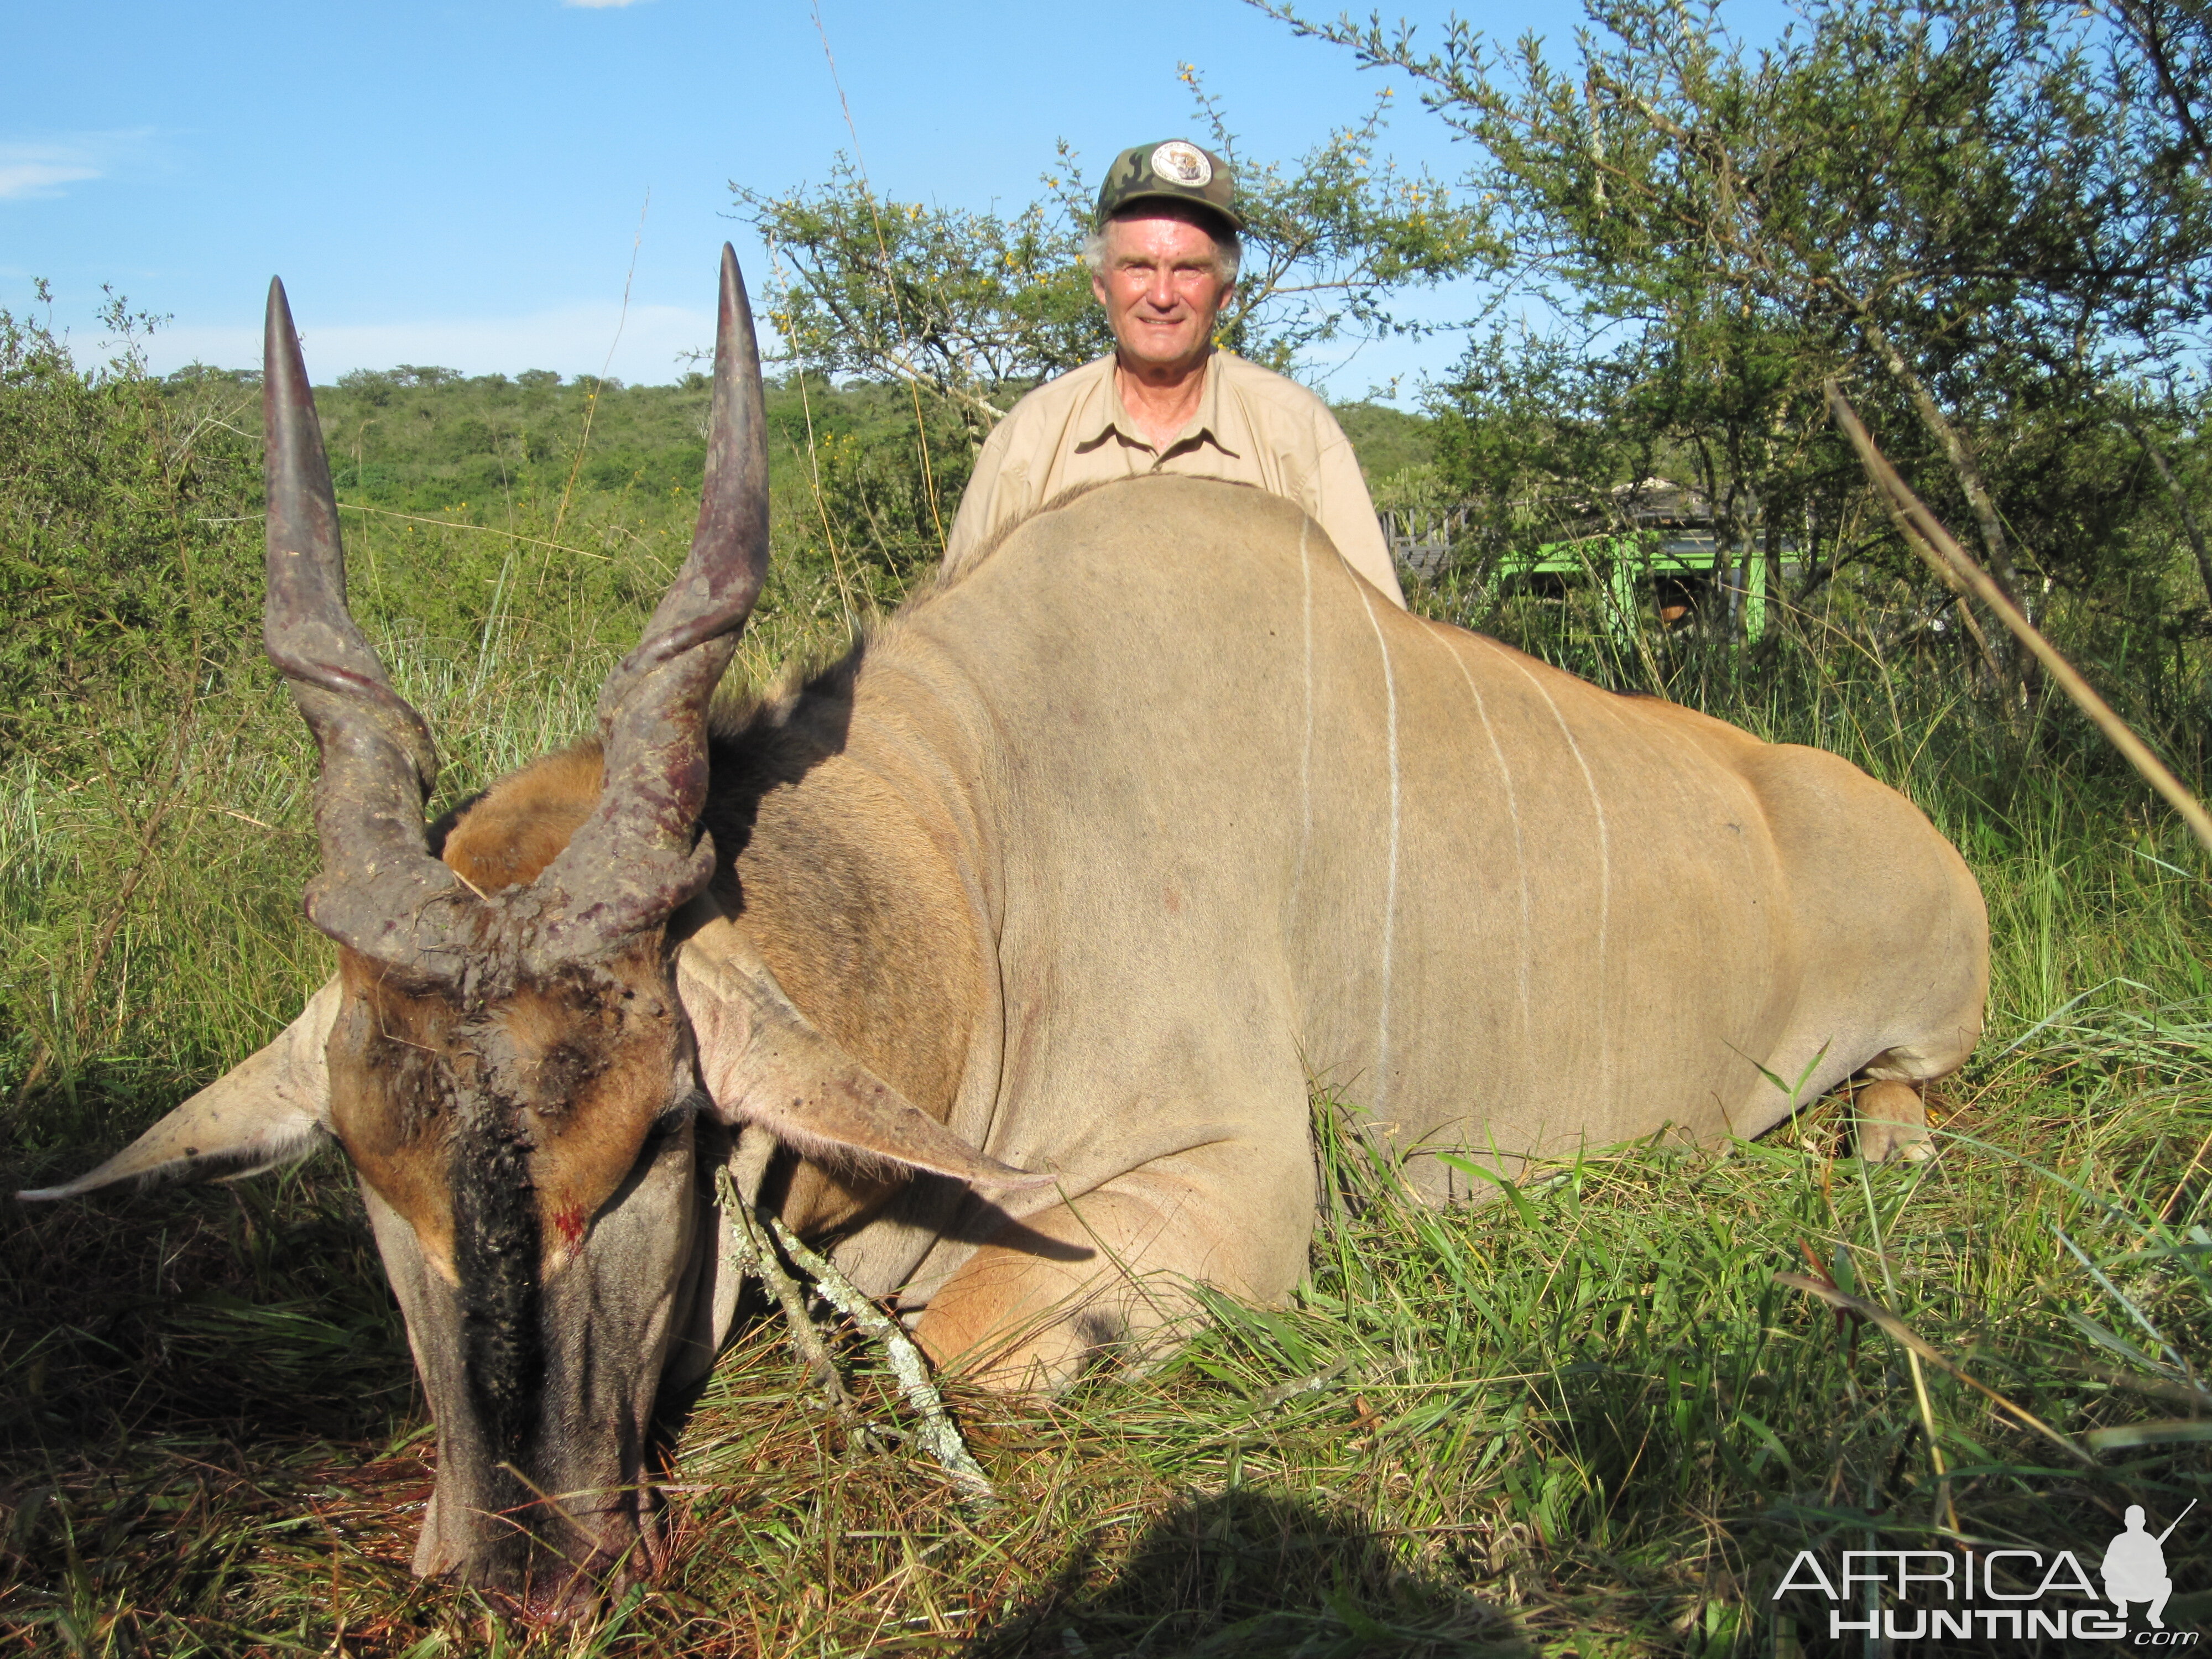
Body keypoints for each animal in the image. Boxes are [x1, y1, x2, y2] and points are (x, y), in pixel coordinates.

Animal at [17, 250, 1991, 1628]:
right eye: (368, 1168)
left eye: (654, 1140)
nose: (530, 1576)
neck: (970, 867)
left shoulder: (1226, 1192)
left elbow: (962, 1356)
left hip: (1934, 1011)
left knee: (1914, 1089)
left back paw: (1879, 1151)